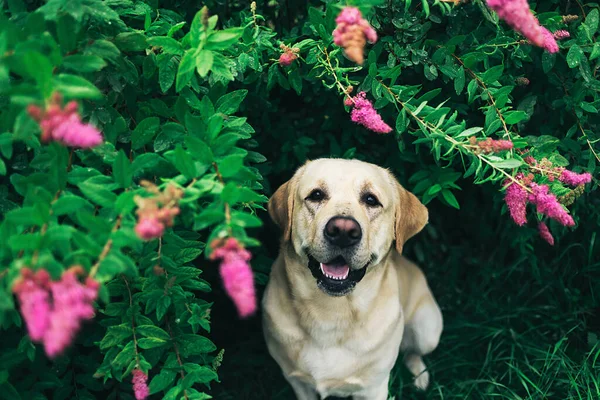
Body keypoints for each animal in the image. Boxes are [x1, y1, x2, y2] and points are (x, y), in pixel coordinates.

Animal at [260, 158, 442, 398]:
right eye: (316, 195)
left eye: (371, 199)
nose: (343, 231)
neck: (330, 313)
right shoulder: (297, 382)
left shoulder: (373, 388)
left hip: (427, 330)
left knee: (413, 352)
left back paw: (420, 376)